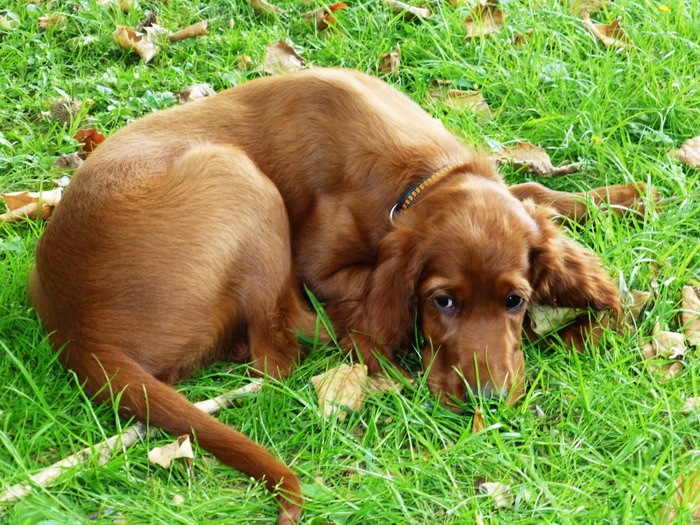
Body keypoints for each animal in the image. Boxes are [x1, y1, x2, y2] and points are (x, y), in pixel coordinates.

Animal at [29, 68, 645, 523]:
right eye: (441, 302)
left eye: (515, 301)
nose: (485, 403)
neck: (422, 175)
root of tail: (75, 330)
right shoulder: (321, 266)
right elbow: (366, 299)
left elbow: (532, 190)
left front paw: (624, 197)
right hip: (239, 178)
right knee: (279, 351)